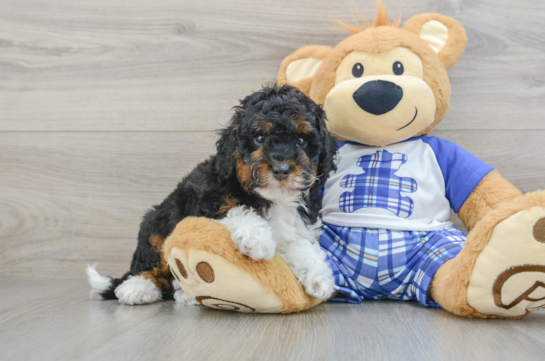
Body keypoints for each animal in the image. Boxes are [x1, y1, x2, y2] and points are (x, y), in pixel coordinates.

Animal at [87, 83, 338, 304]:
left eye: (302, 140)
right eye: (260, 137)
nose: (281, 169)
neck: (271, 198)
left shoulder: (299, 225)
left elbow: (302, 245)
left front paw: (319, 277)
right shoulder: (202, 202)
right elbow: (235, 209)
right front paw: (257, 239)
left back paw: (184, 295)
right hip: (156, 224)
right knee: (149, 263)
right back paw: (138, 287)